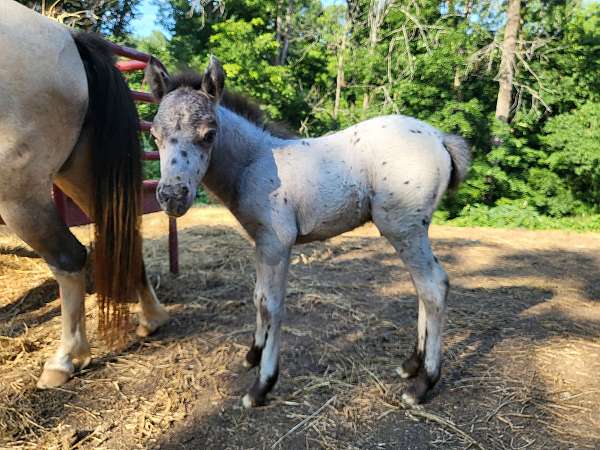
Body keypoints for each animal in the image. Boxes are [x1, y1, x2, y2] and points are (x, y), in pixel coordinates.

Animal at [0, 0, 168, 388]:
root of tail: (68, 36)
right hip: (79, 173)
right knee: (122, 236)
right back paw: (152, 319)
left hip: (20, 193)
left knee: (68, 257)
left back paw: (65, 360)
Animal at [146, 56, 474, 408]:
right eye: (154, 134)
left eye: (209, 134)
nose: (172, 197)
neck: (254, 162)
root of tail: (439, 137)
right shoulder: (261, 243)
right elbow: (258, 296)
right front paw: (252, 355)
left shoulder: (277, 243)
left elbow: (272, 305)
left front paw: (262, 385)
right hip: (409, 231)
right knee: (421, 288)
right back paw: (411, 364)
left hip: (404, 229)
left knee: (433, 286)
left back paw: (422, 384)